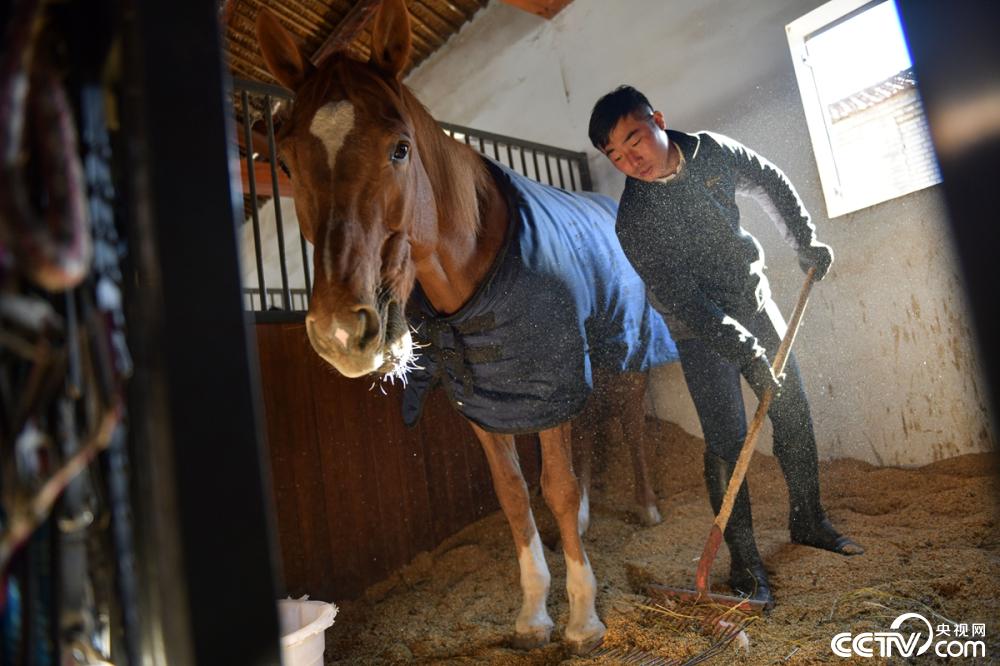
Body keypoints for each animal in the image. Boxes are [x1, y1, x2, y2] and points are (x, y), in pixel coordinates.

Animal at [256, 0, 675, 652]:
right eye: (288, 161)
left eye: (400, 149)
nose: (341, 331)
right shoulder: (488, 402)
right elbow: (514, 494)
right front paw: (533, 613)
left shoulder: (547, 374)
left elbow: (552, 486)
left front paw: (583, 617)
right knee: (585, 429)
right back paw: (585, 517)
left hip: (623, 347)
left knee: (629, 419)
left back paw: (647, 507)